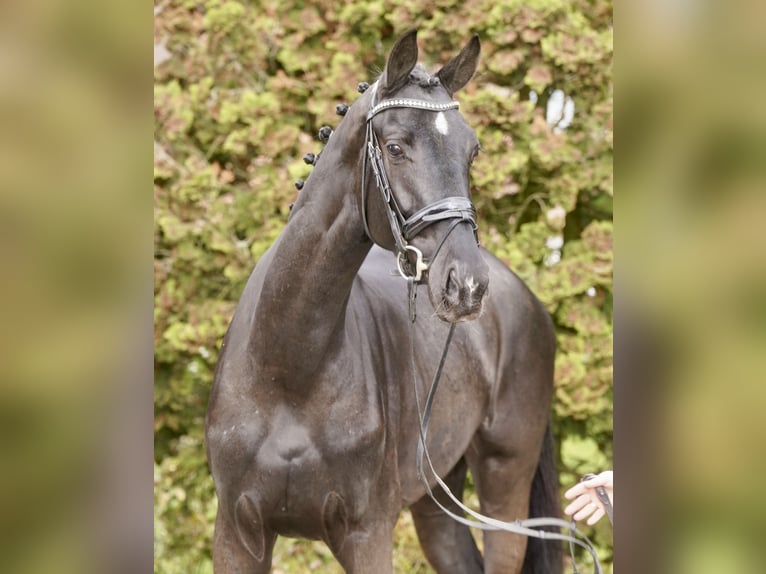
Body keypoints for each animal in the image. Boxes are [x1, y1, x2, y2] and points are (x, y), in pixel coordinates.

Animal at [207, 31, 560, 574]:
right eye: (395, 147)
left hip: (505, 484)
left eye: (472, 152)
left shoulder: (366, 532)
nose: (466, 285)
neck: (287, 371)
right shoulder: (237, 533)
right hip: (437, 499)